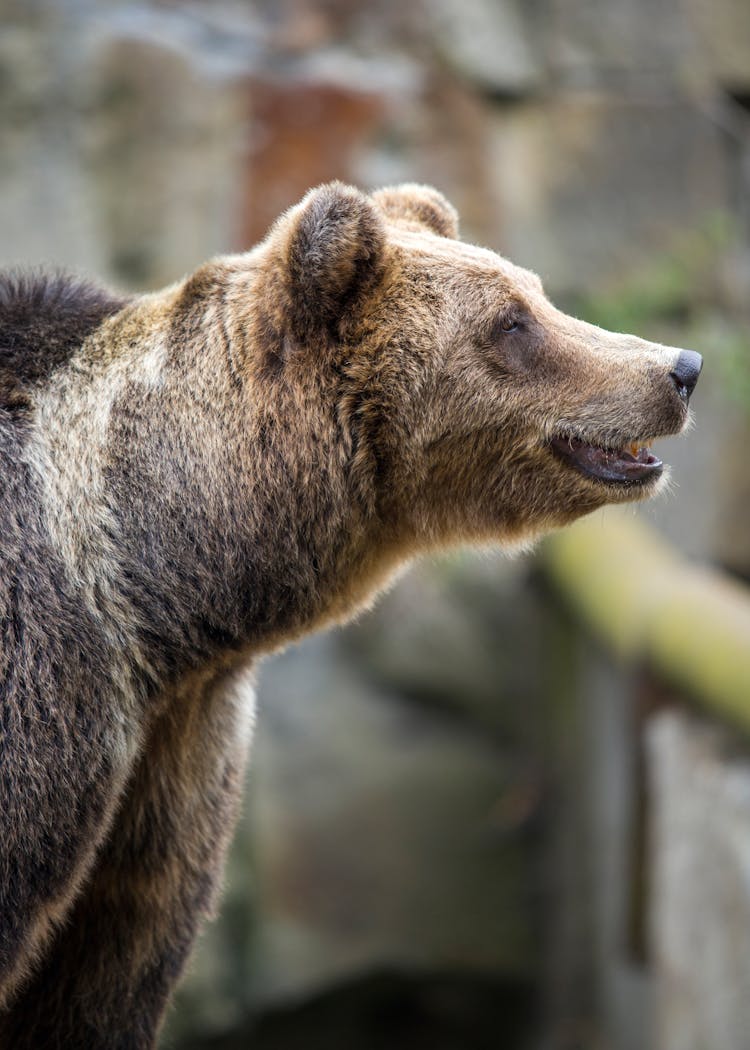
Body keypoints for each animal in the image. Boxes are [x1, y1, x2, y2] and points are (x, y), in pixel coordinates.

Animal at [0, 180, 693, 1041]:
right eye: (513, 320)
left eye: (535, 294)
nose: (681, 368)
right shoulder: (47, 686)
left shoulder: (170, 764)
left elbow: (106, 977)